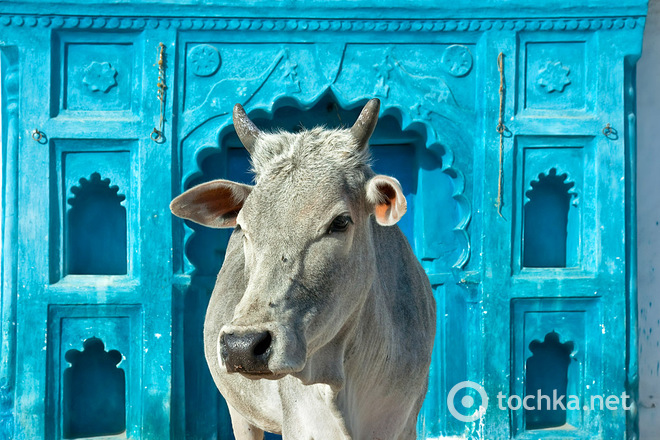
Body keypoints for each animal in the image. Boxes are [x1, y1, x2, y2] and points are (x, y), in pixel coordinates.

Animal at [173, 99, 436, 440]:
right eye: (242, 227)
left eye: (341, 221)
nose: (242, 346)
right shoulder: (301, 424)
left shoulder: (404, 423)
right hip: (239, 411)